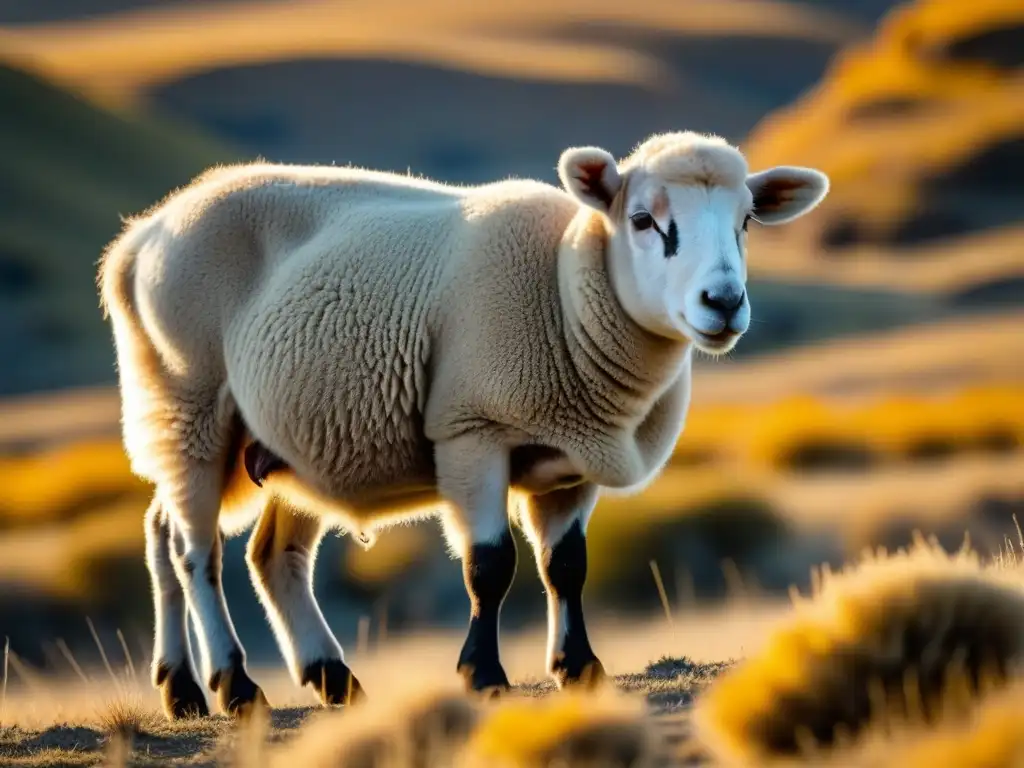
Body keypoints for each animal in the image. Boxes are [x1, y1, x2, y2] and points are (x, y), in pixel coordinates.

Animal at [96, 132, 831, 720]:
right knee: (193, 552)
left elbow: (566, 566)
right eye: (645, 220)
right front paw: (483, 674)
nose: (724, 302)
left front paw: (578, 668)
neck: (564, 289)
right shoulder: (473, 431)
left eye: (745, 222)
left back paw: (268, 681)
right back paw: (232, 683)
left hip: (285, 434)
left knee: (239, 549)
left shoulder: (575, 455)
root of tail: (141, 236)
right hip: (186, 399)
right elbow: (490, 565)